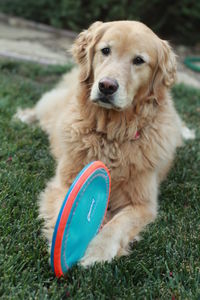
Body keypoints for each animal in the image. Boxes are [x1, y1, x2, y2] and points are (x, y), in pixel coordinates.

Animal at [15, 20, 192, 264]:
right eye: (105, 50)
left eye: (139, 60)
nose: (106, 86)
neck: (112, 134)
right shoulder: (64, 183)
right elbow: (64, 210)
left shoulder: (144, 204)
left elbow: (120, 223)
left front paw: (97, 249)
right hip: (53, 110)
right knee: (44, 106)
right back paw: (26, 116)